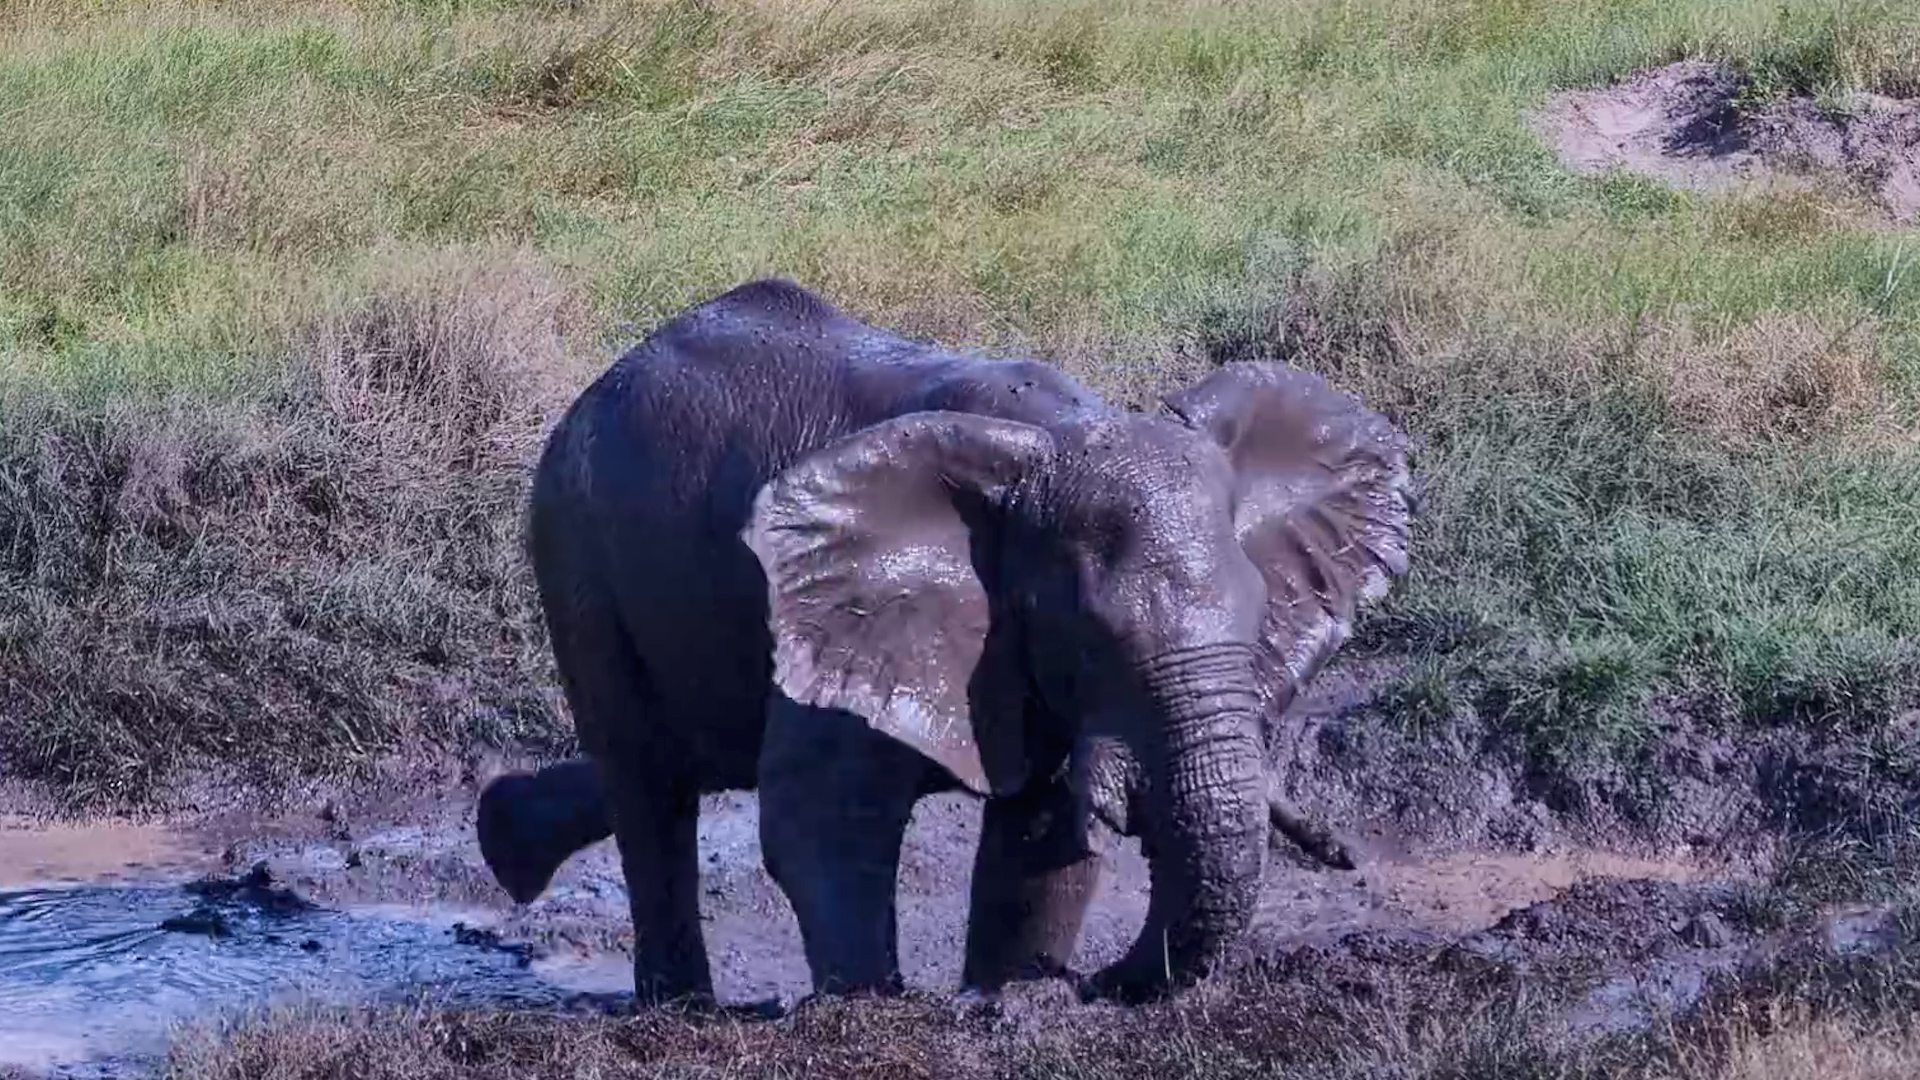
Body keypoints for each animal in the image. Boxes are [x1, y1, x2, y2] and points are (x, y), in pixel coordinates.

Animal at [480, 278, 1413, 1008]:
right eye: (1094, 635)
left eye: (1260, 620)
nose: (1095, 982)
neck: (1058, 436)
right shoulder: (855, 595)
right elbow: (819, 819)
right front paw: (874, 1008)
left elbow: (1042, 838)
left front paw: (1008, 996)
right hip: (577, 556)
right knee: (650, 785)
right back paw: (680, 1007)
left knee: (687, 760)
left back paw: (507, 836)